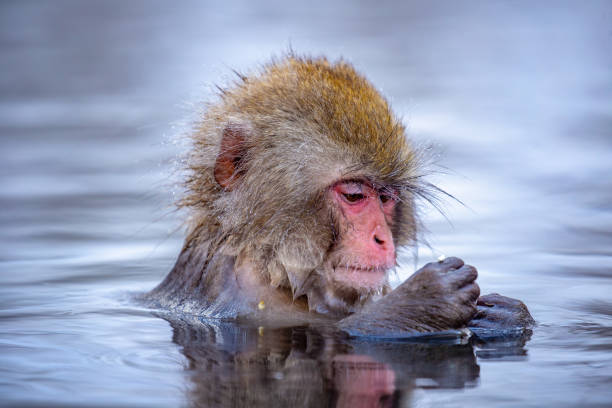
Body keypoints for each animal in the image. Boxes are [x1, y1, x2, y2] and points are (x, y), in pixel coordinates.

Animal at [151, 53, 532, 334]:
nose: (382, 238)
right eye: (353, 195)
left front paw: (504, 314)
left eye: (386, 198)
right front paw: (423, 300)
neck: (266, 266)